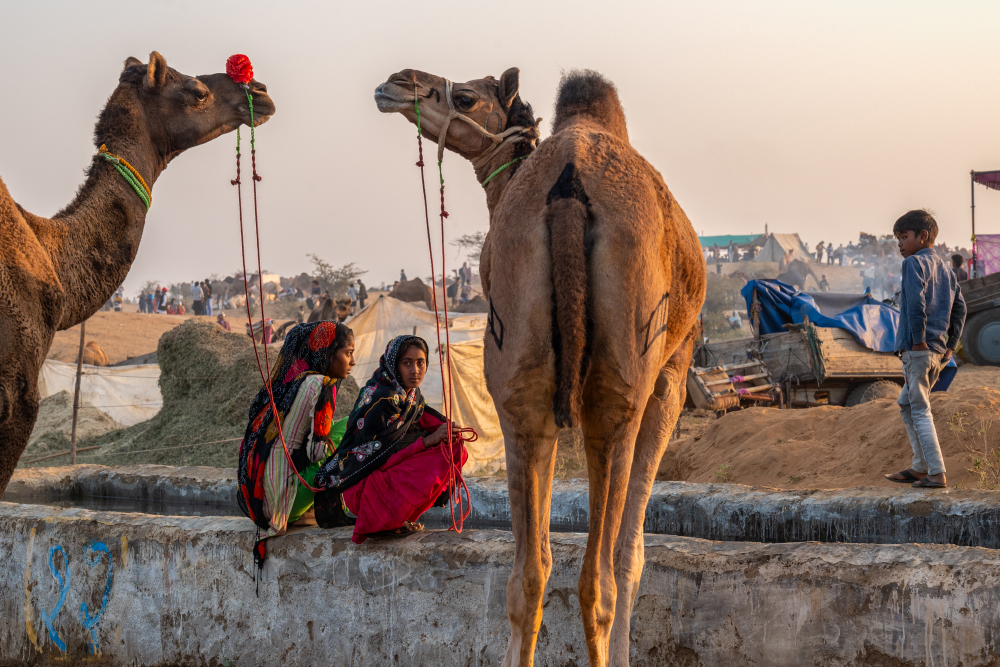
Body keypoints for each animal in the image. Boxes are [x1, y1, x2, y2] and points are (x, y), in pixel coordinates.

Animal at [376, 68, 705, 666]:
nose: (397, 81)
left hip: (519, 382)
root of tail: (567, 189)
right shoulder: (672, 372)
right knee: (598, 578)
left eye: (465, 97)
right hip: (619, 392)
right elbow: (631, 555)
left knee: (528, 574)